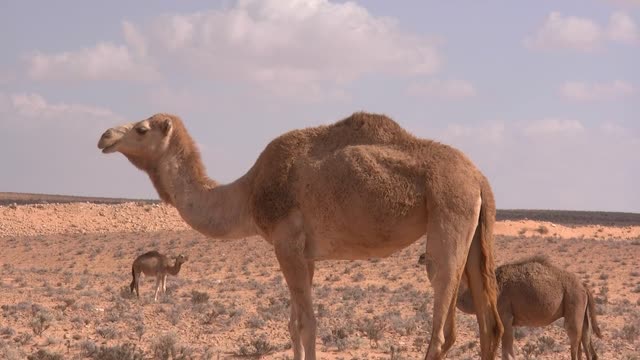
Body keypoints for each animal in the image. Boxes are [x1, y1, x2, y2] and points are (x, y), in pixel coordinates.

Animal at [97, 112, 502, 360]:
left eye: (141, 128)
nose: (104, 136)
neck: (247, 193)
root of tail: (479, 177)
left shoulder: (286, 243)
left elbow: (307, 324)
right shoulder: (303, 254)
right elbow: (294, 325)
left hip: (449, 213)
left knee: (443, 325)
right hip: (474, 233)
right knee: (490, 325)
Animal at [418, 255, 604, 358]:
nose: (420, 257)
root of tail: (584, 286)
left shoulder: (505, 317)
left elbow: (506, 353)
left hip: (573, 304)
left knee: (575, 343)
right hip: (582, 312)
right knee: (588, 345)